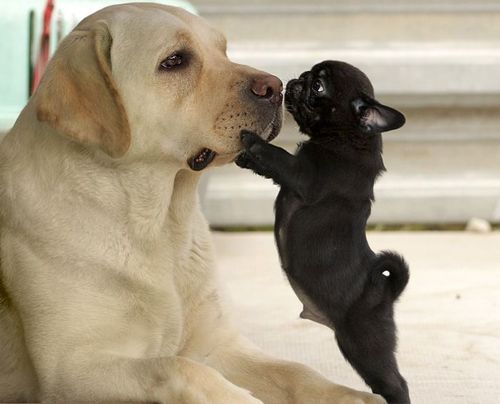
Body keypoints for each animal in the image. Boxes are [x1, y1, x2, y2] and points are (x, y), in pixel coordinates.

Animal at [237, 60, 410, 404]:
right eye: (307, 76)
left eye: (318, 86)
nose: (295, 80)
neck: (350, 136)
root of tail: (386, 293)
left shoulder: (303, 175)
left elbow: (277, 156)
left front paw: (250, 141)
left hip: (364, 342)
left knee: (395, 384)